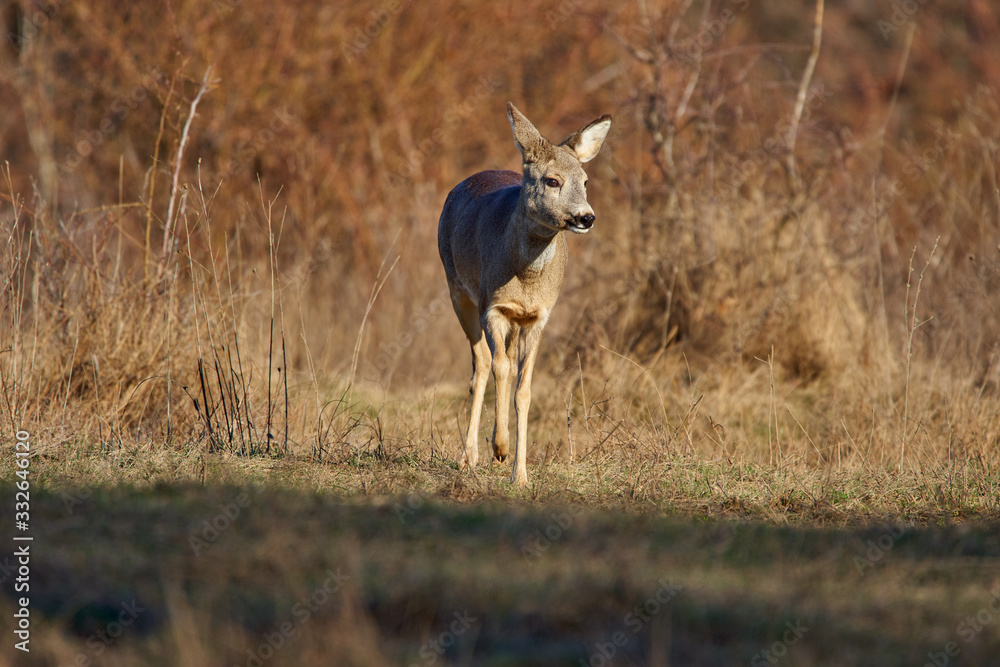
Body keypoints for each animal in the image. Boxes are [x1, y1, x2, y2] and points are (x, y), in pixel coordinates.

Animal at [437, 102, 612, 485]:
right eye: (552, 180)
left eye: (586, 181)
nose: (586, 217)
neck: (526, 278)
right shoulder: (492, 307)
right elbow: (501, 369)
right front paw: (500, 448)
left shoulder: (538, 317)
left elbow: (525, 389)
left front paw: (520, 474)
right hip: (457, 289)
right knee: (481, 367)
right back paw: (469, 456)